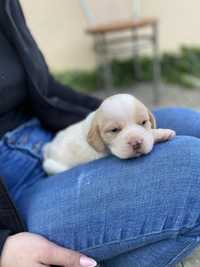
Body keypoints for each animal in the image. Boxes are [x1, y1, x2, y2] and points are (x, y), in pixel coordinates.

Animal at [42, 94, 175, 176]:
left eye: (143, 122)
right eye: (114, 130)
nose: (136, 143)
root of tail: (47, 149)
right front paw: (161, 133)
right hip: (52, 166)